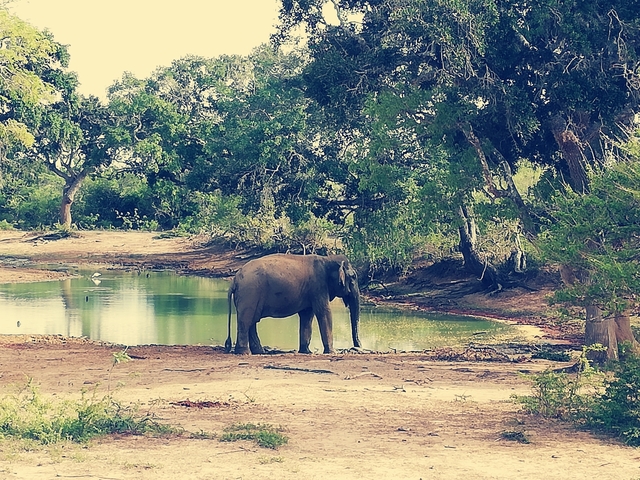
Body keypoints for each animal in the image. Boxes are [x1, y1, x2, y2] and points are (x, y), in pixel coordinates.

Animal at [225, 253, 361, 355]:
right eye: (353, 277)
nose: (358, 346)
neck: (327, 259)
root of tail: (235, 279)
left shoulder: (312, 291)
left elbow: (307, 316)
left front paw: (306, 351)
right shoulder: (318, 286)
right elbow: (324, 312)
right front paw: (332, 352)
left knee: (252, 321)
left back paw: (259, 352)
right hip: (250, 293)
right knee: (246, 321)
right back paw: (245, 353)